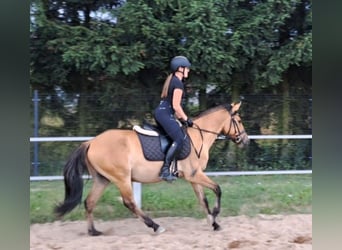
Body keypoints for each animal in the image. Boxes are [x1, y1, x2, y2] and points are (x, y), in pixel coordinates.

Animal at [54, 101, 250, 234]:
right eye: (239, 120)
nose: (245, 141)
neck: (197, 136)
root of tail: (91, 142)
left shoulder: (194, 177)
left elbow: (203, 200)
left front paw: (214, 223)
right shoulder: (194, 175)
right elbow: (218, 189)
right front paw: (215, 215)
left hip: (103, 179)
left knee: (90, 202)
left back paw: (93, 231)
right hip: (121, 178)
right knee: (129, 203)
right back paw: (155, 226)